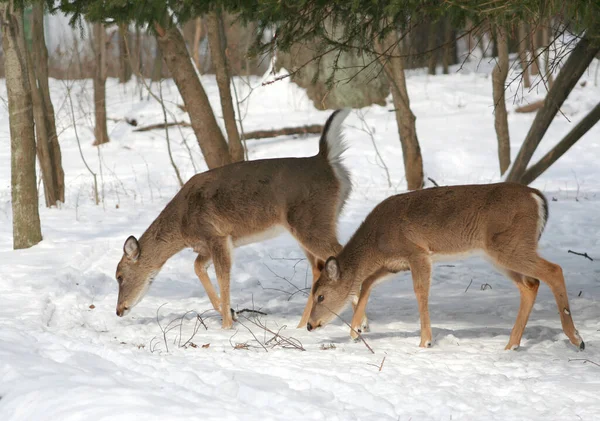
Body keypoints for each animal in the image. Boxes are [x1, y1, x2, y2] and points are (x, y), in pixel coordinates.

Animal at [116, 108, 360, 328]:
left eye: (119, 276)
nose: (119, 310)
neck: (181, 226)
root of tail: (326, 160)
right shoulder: (211, 244)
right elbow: (197, 267)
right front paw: (230, 313)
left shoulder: (215, 235)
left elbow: (223, 278)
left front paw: (226, 326)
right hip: (310, 224)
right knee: (319, 268)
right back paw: (303, 326)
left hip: (311, 221)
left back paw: (358, 323)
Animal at [308, 182, 584, 350]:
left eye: (320, 296)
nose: (310, 325)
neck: (376, 242)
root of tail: (536, 196)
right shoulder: (394, 264)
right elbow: (365, 282)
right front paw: (355, 331)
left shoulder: (417, 252)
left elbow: (420, 292)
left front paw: (425, 342)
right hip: (500, 252)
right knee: (531, 284)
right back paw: (511, 345)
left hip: (510, 245)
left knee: (553, 270)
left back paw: (576, 338)